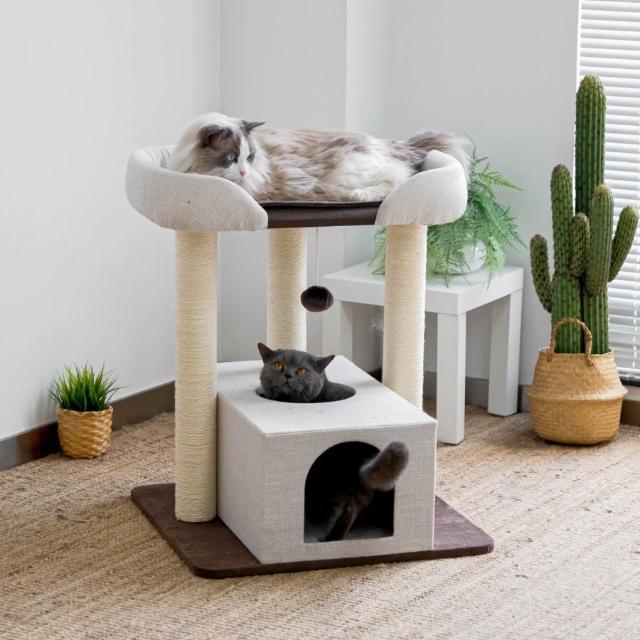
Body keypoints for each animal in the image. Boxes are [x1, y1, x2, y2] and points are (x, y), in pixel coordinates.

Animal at [169, 112, 469, 202]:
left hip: (350, 171)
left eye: (248, 157)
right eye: (231, 158)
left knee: (399, 177)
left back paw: (359, 195)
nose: (243, 172)